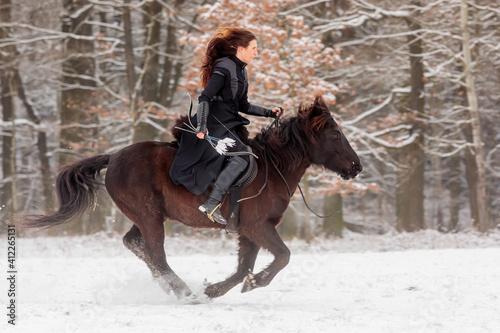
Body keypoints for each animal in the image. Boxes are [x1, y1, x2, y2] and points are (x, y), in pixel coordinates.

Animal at [21, 94, 364, 300]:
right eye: (335, 134)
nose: (356, 166)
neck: (272, 166)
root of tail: (114, 157)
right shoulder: (258, 226)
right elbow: (282, 256)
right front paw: (254, 283)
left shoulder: (248, 231)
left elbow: (244, 267)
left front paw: (217, 289)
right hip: (149, 217)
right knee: (156, 255)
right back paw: (183, 292)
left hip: (145, 217)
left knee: (136, 245)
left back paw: (175, 288)